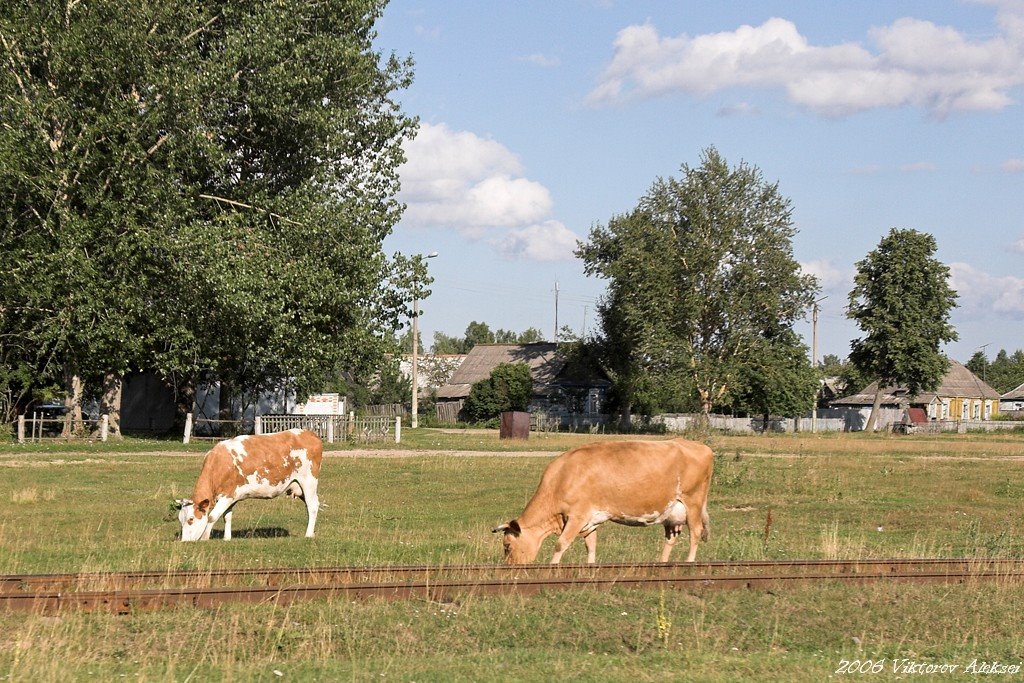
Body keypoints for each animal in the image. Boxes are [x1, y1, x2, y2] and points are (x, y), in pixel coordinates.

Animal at [174, 428, 321, 544]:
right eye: (180, 519)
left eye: (191, 519)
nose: (184, 541)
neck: (219, 464)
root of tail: (309, 433)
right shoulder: (231, 497)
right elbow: (227, 516)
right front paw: (227, 538)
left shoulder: (227, 495)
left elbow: (212, 516)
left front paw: (205, 538)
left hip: (309, 481)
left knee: (312, 506)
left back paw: (308, 534)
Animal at [495, 440, 712, 565]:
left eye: (507, 546)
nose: (509, 569)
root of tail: (702, 446)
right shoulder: (590, 520)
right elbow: (591, 546)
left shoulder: (577, 516)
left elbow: (560, 544)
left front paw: (552, 568)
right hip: (673, 512)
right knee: (671, 538)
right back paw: (661, 564)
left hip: (693, 501)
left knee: (695, 532)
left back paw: (689, 562)